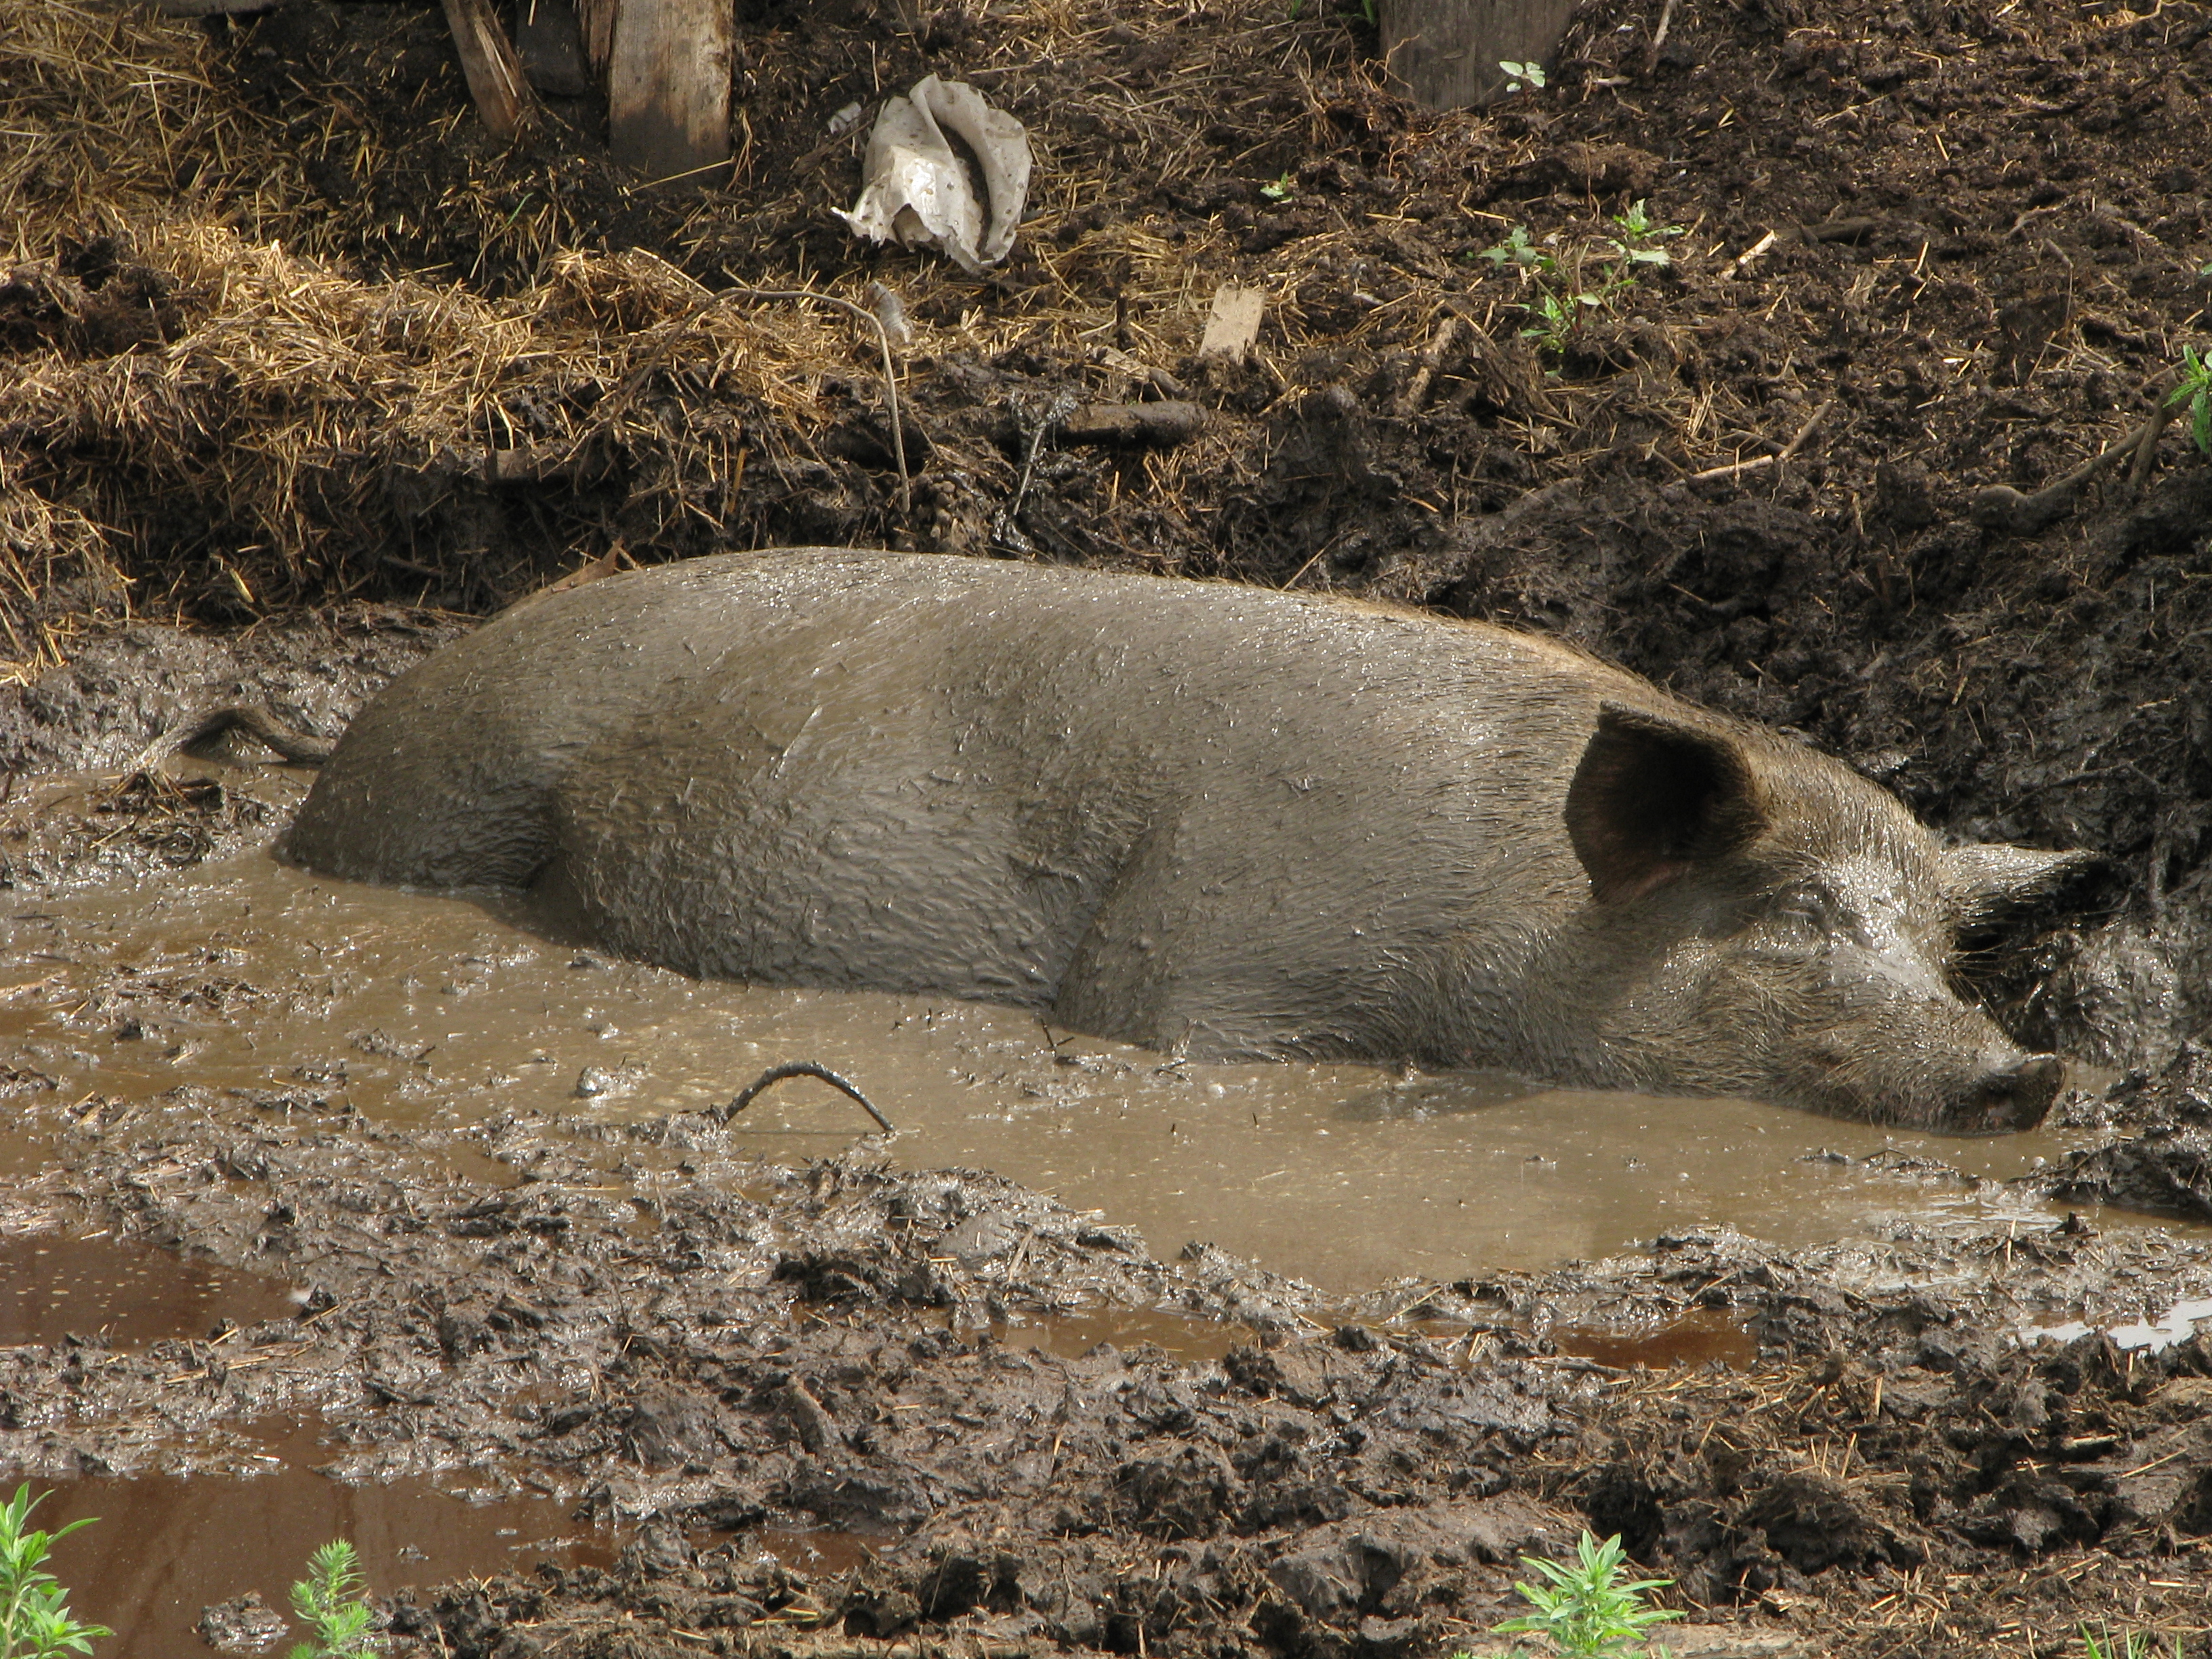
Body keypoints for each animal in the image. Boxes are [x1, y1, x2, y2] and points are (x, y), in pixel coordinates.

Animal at [281, 553, 2088, 1141]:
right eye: (1790, 914)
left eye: (1943, 943)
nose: (2023, 1069)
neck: (1494, 923)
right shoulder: (1194, 971)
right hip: (437, 798)